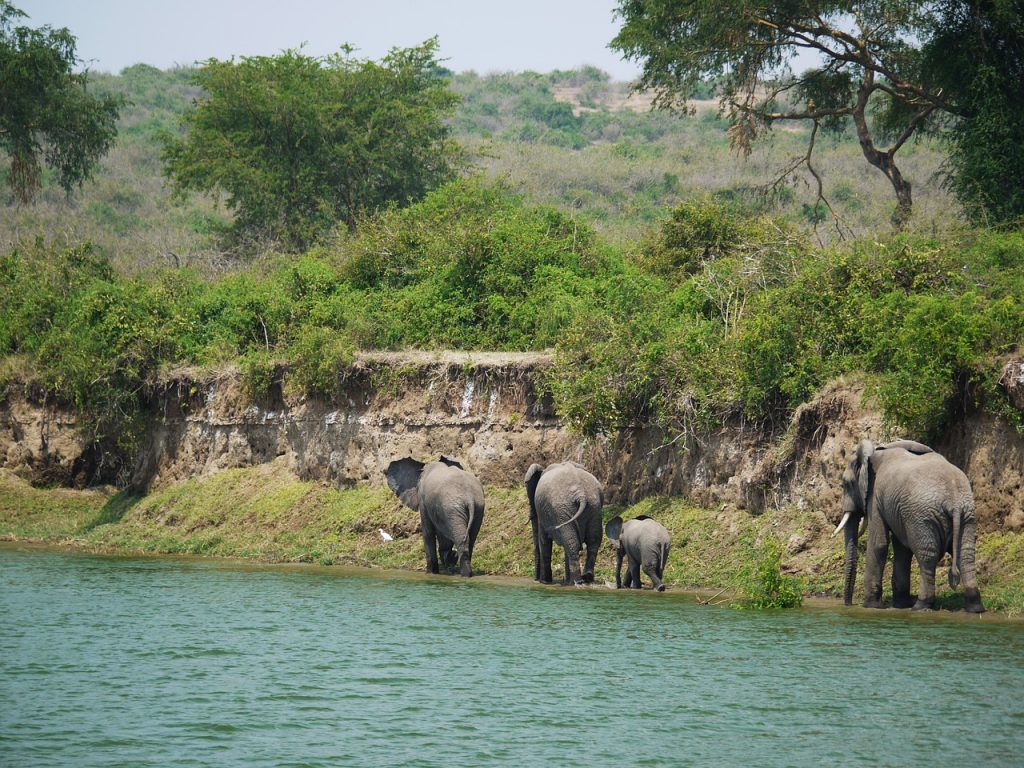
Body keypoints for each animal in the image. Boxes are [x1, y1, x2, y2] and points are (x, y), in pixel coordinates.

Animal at [831, 438, 983, 614]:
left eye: (845, 484)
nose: (849, 604)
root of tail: (954, 500)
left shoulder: (875, 497)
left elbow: (879, 544)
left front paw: (870, 606)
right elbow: (901, 549)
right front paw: (900, 604)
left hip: (922, 516)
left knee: (927, 556)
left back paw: (921, 606)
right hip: (967, 514)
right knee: (966, 556)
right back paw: (975, 608)